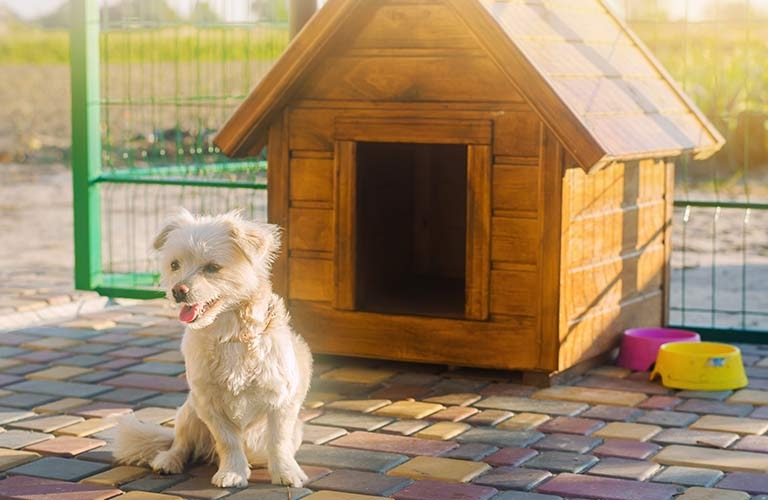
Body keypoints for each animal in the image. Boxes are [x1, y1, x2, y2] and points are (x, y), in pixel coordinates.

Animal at [114, 209, 312, 486]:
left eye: (212, 268)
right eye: (174, 265)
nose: (178, 290)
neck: (230, 334)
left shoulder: (281, 403)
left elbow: (279, 442)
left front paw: (286, 472)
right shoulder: (209, 405)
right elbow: (228, 442)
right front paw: (233, 472)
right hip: (188, 413)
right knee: (181, 444)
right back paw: (168, 461)